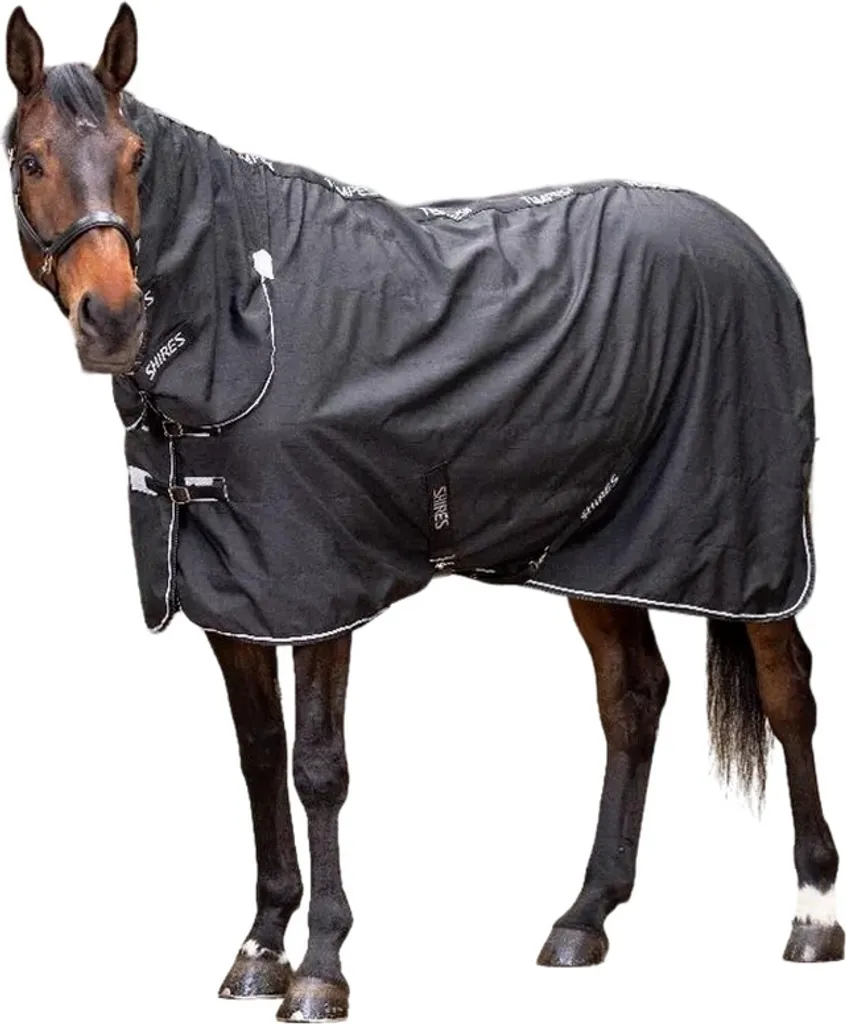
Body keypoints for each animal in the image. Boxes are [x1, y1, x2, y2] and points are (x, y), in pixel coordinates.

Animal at [4, 4, 842, 1021]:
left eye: (133, 157)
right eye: (32, 158)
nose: (113, 318)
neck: (248, 303)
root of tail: (753, 251)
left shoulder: (320, 590)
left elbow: (318, 768)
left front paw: (321, 969)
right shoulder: (234, 598)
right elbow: (258, 755)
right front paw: (260, 946)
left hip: (753, 548)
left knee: (787, 692)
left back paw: (811, 915)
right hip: (600, 549)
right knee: (633, 698)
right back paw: (584, 918)